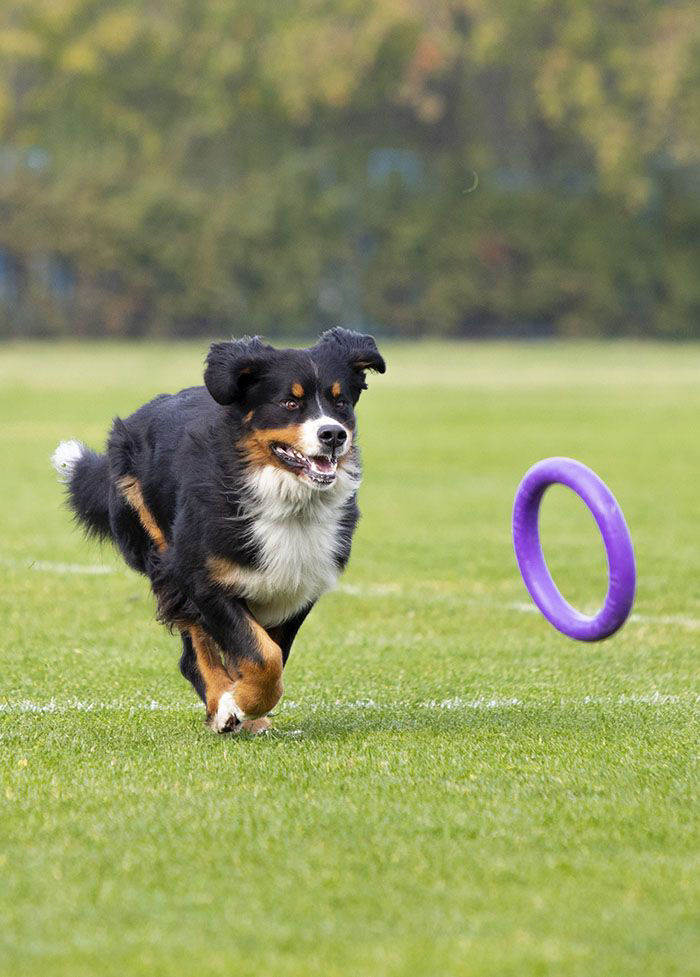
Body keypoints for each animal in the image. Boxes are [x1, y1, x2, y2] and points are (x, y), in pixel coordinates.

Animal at [52, 328, 386, 732]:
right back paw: (221, 703)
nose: (333, 435)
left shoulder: (299, 585)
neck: (285, 499)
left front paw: (249, 704)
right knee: (194, 649)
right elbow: (263, 656)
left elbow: (270, 653)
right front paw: (237, 704)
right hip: (164, 557)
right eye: (289, 403)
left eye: (341, 403)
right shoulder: (202, 578)